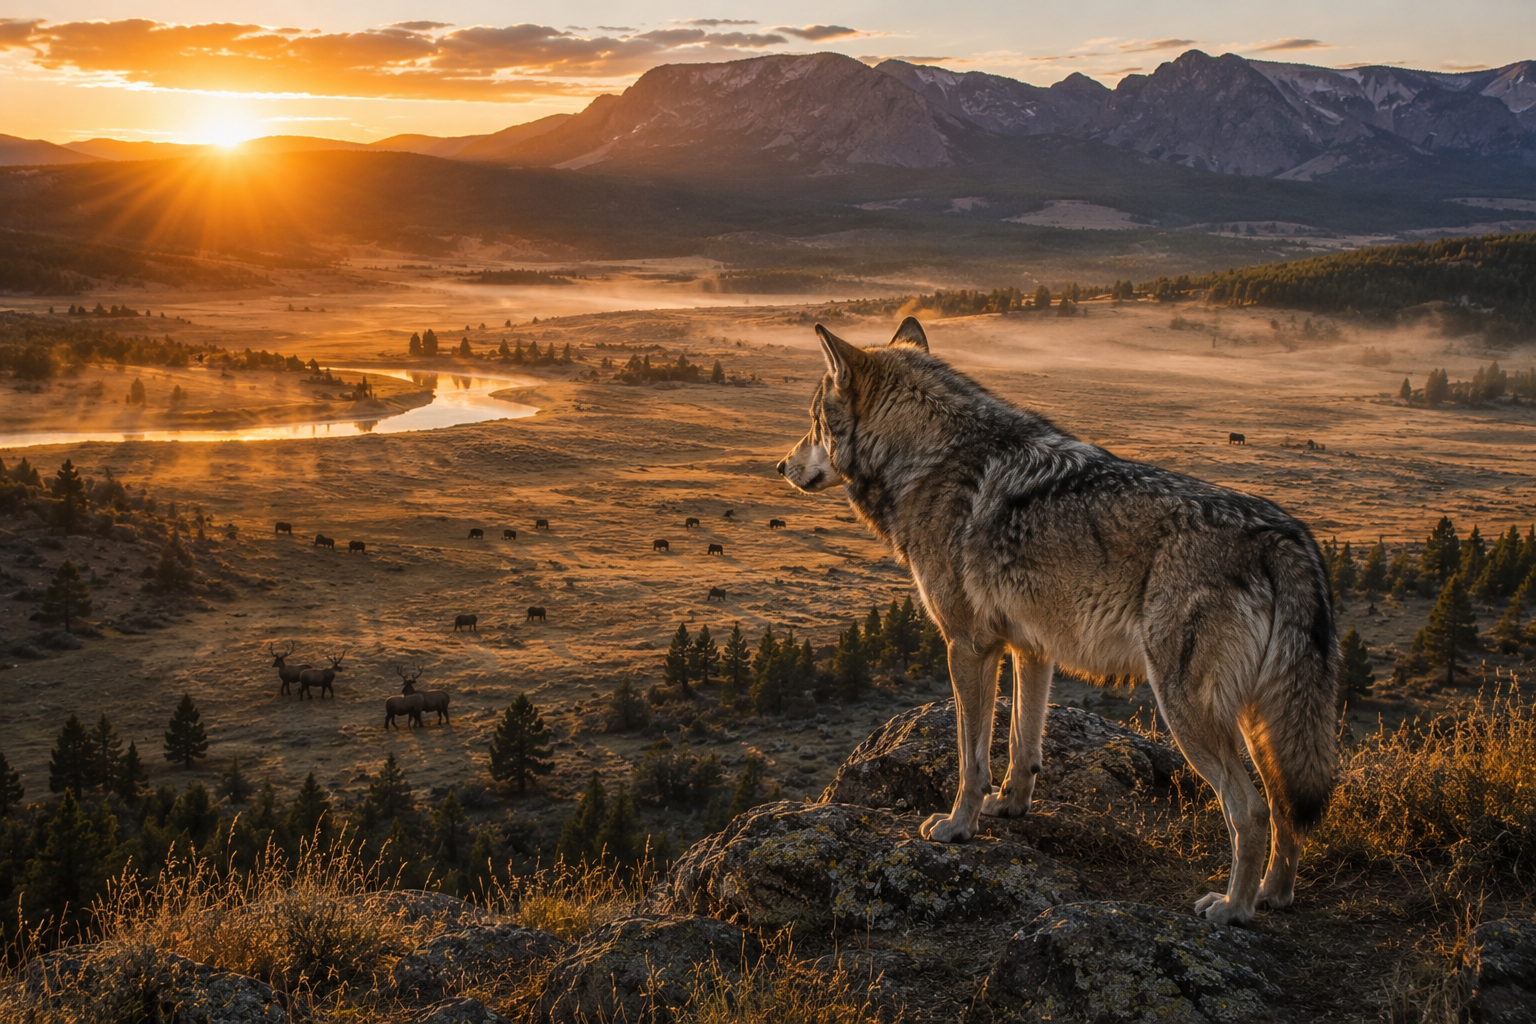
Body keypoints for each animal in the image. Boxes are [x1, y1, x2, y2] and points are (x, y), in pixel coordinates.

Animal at [777, 317, 1338, 925]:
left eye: (812, 420)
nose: (780, 466)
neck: (929, 458)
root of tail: (1284, 536)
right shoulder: (1031, 649)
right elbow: (1024, 744)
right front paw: (1010, 807)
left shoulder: (967, 646)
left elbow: (970, 757)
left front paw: (956, 828)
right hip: (1260, 721)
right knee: (1284, 807)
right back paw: (1272, 895)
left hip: (1186, 709)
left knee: (1250, 810)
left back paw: (1232, 907)